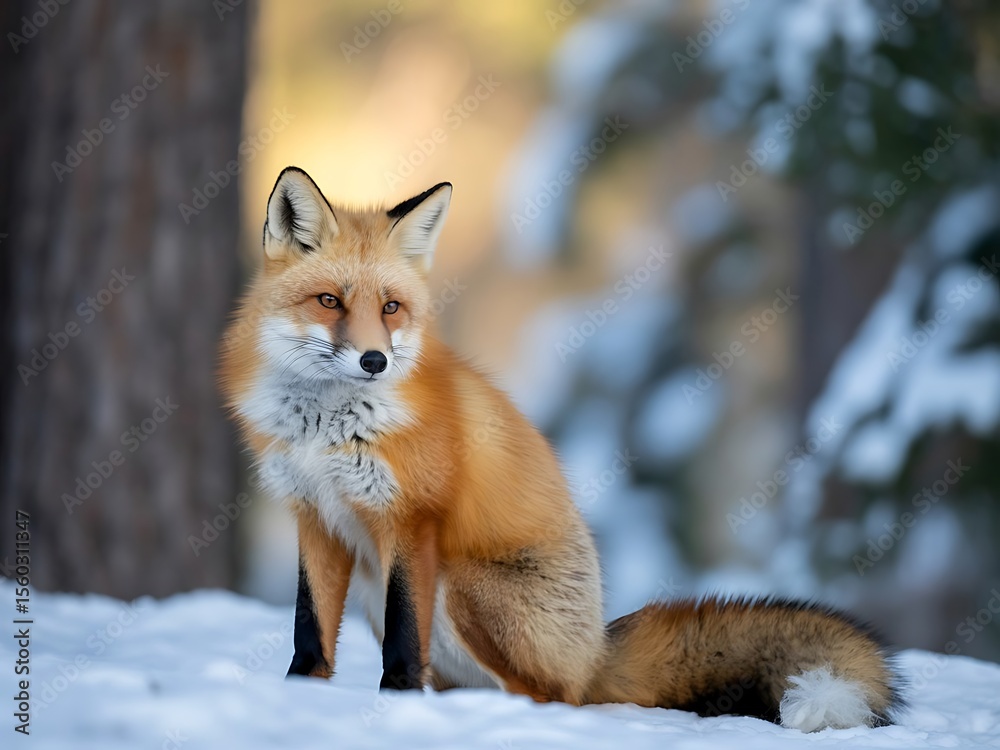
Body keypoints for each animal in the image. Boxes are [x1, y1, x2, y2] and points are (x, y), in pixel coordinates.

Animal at [219, 166, 903, 732]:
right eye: (329, 301)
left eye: (390, 308)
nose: (374, 360)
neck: (325, 428)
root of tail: (595, 652)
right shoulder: (316, 516)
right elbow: (309, 633)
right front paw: (295, 700)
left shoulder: (412, 521)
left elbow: (403, 648)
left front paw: (393, 711)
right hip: (375, 589)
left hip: (460, 585)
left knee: (549, 698)